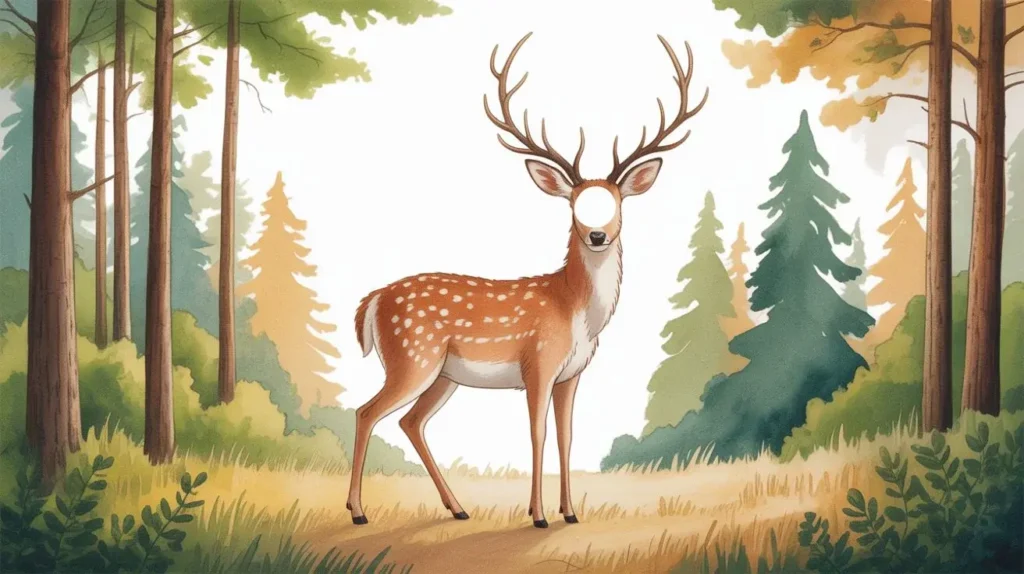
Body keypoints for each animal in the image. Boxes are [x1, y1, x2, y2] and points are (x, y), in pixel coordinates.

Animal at [347, 32, 707, 529]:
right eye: (575, 205)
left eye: (615, 203)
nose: (597, 234)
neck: (576, 312)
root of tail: (374, 300)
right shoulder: (538, 362)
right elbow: (537, 434)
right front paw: (537, 515)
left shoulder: (571, 374)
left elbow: (566, 437)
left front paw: (570, 512)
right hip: (412, 356)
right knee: (366, 412)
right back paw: (359, 512)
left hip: (441, 374)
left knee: (410, 422)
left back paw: (458, 508)